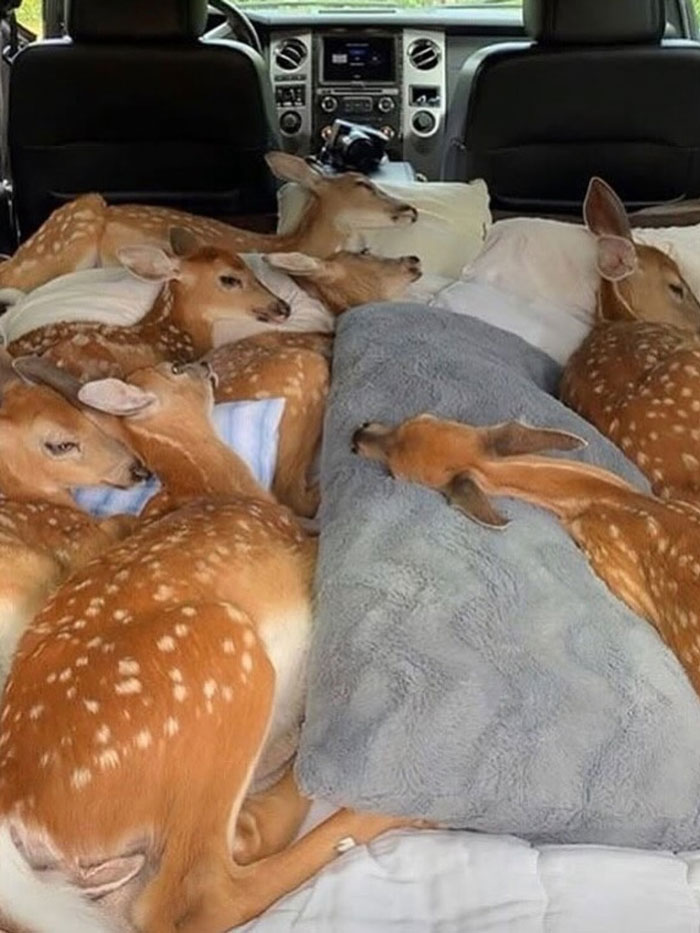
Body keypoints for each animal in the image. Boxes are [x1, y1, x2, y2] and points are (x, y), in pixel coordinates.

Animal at [0, 358, 426, 933]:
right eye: (175, 369)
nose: (203, 365)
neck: (211, 484)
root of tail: (14, 811)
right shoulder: (306, 553)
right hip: (220, 661)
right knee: (197, 895)